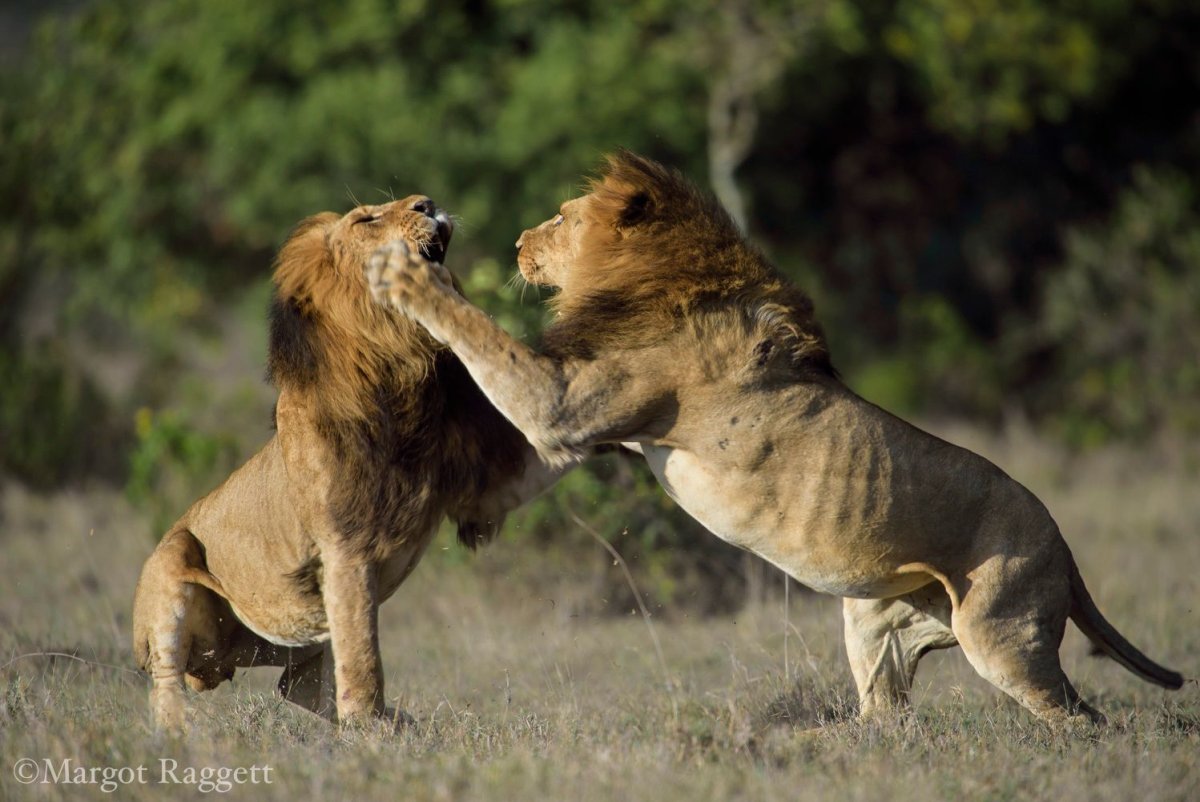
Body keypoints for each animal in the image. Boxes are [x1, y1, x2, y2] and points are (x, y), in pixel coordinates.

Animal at [132, 196, 562, 731]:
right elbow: (363, 657)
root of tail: (217, 666)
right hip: (173, 561)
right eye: (367, 219)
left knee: (298, 687)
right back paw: (182, 736)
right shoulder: (345, 549)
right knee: (166, 685)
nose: (428, 203)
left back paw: (414, 726)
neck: (399, 367)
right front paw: (369, 736)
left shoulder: (487, 484)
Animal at [366, 152, 1186, 726]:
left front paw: (405, 275)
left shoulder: (566, 403)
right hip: (881, 624)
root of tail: (1065, 548)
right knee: (889, 715)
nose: (515, 243)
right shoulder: (589, 429)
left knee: (1083, 719)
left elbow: (481, 334)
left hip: (1002, 633)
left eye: (563, 219)